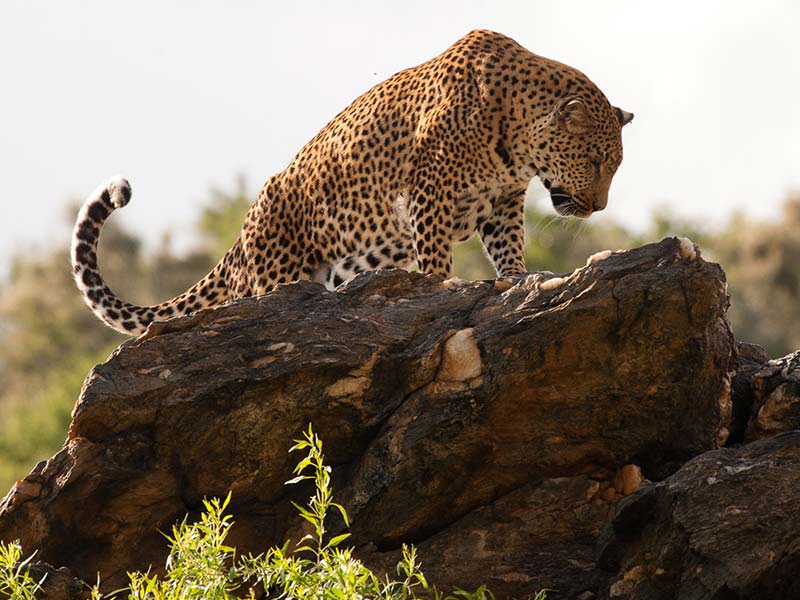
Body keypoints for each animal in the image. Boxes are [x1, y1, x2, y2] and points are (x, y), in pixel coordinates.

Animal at [70, 30, 632, 336]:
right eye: (596, 161)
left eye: (614, 166)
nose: (598, 208)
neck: (513, 134)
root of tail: (241, 239)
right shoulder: (429, 188)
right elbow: (436, 257)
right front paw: (442, 288)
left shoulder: (504, 200)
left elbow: (508, 243)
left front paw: (517, 279)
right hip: (276, 273)